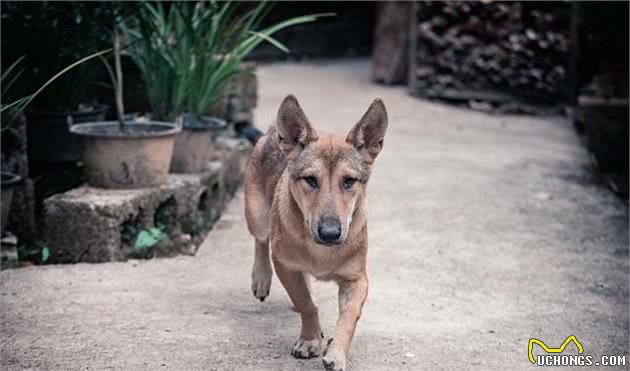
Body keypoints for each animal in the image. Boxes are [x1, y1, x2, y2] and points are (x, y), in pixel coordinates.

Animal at [244, 94, 388, 370]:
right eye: (310, 180)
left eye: (349, 181)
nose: (330, 233)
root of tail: (272, 133)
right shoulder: (285, 266)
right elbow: (305, 303)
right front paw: (310, 340)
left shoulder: (357, 279)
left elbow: (348, 317)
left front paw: (337, 353)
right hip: (256, 214)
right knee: (260, 240)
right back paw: (261, 278)